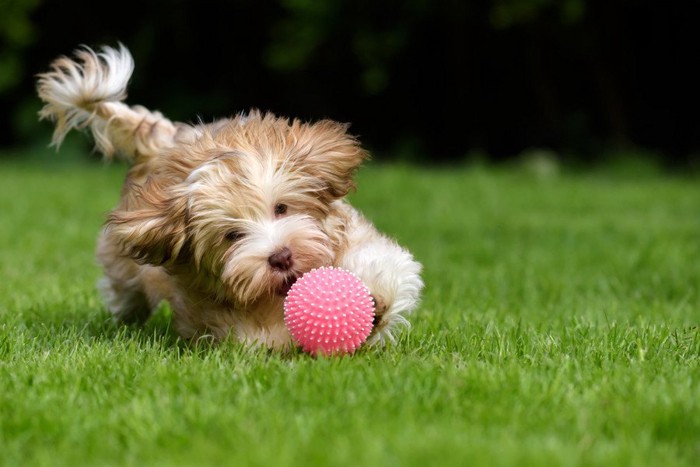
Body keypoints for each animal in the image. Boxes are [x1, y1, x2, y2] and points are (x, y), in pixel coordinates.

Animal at [35, 44, 424, 352]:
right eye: (232, 235)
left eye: (281, 208)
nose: (281, 257)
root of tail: (160, 142)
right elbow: (254, 335)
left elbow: (383, 262)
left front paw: (373, 302)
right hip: (123, 262)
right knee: (125, 288)